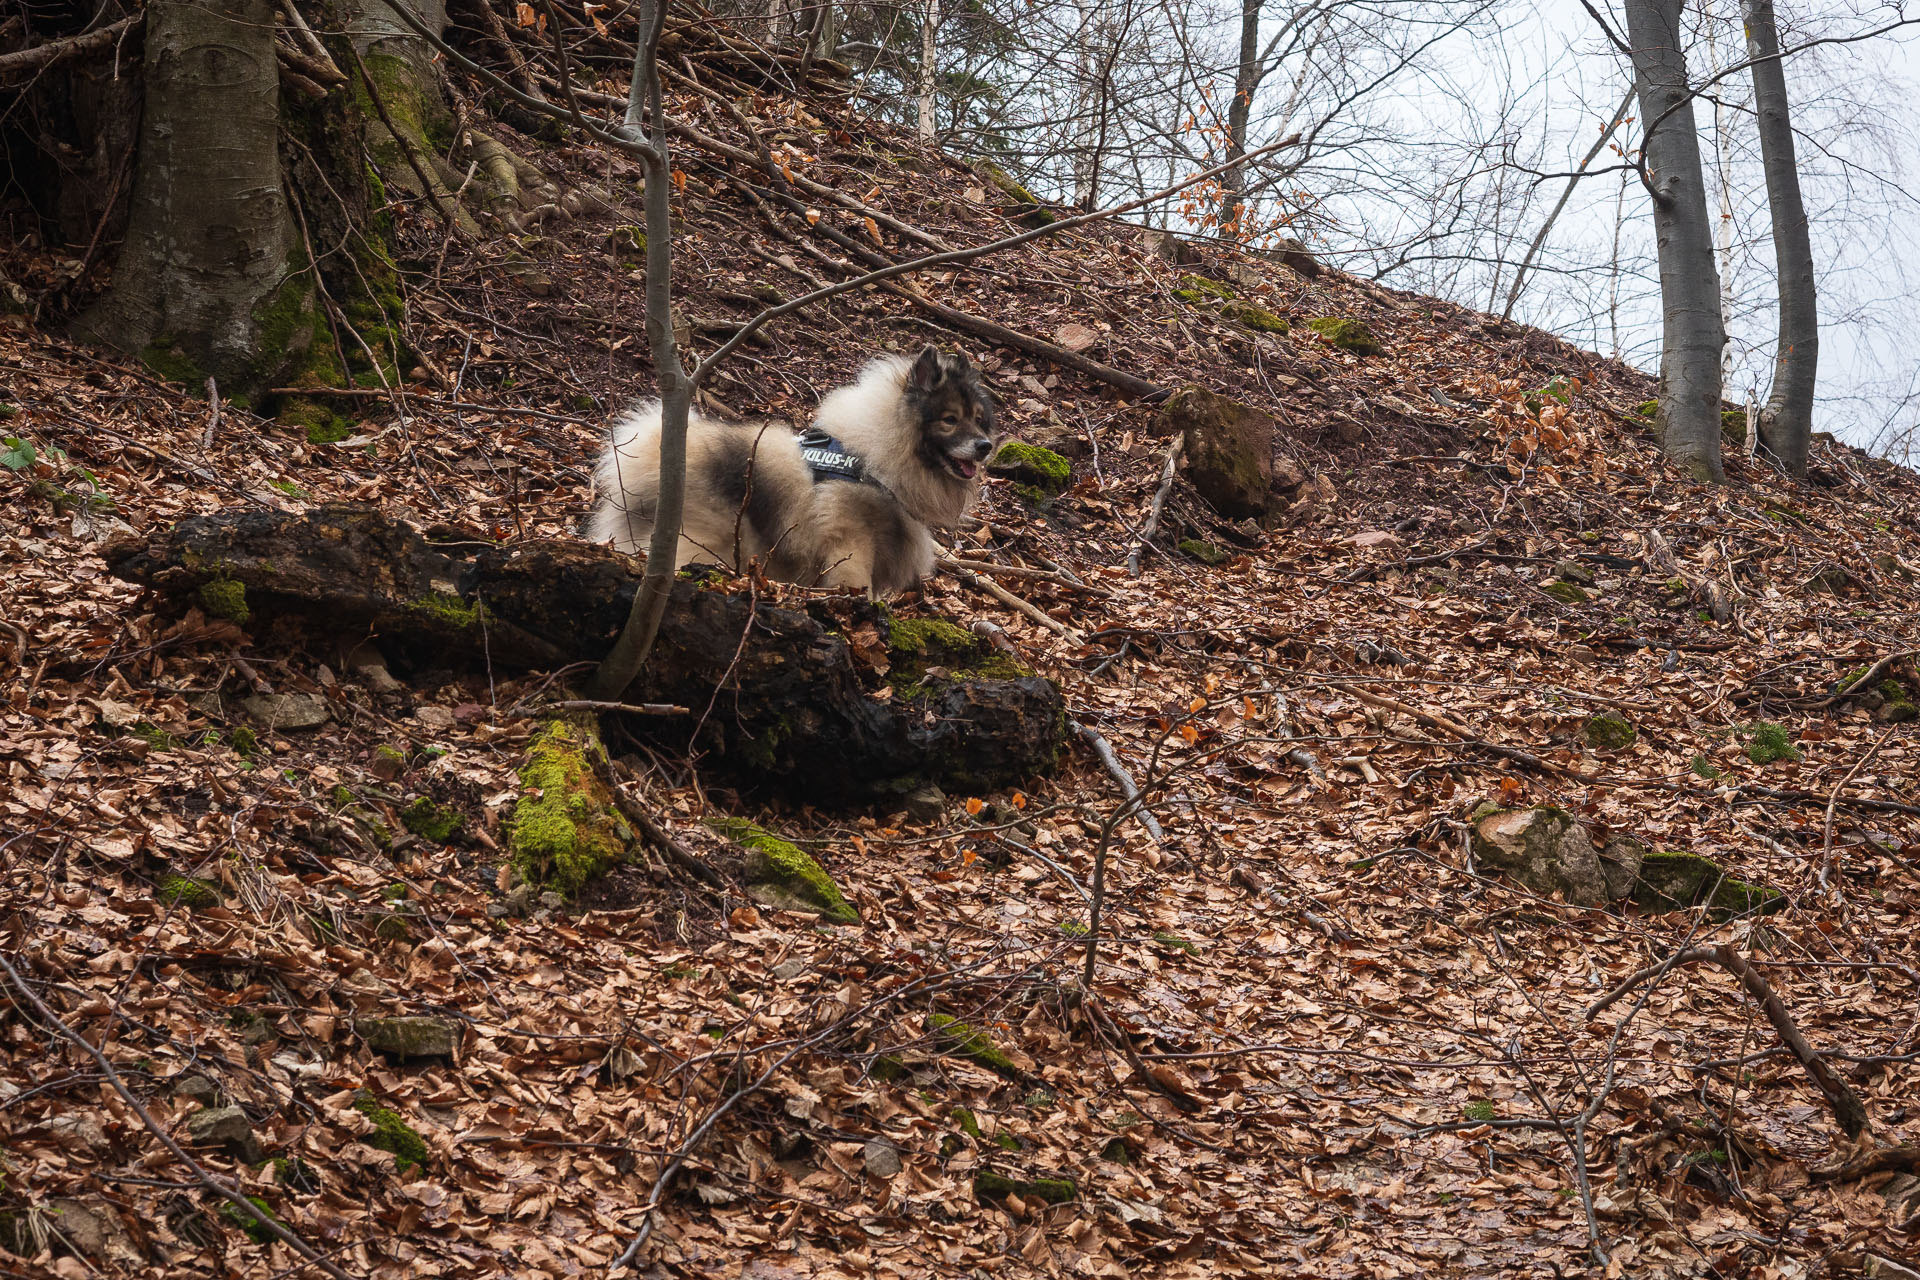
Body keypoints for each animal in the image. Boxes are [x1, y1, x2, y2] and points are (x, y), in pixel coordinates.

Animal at [583, 345, 998, 594]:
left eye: (979, 420)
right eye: (949, 419)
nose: (985, 447)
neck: (874, 456)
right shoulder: (850, 539)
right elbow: (855, 582)